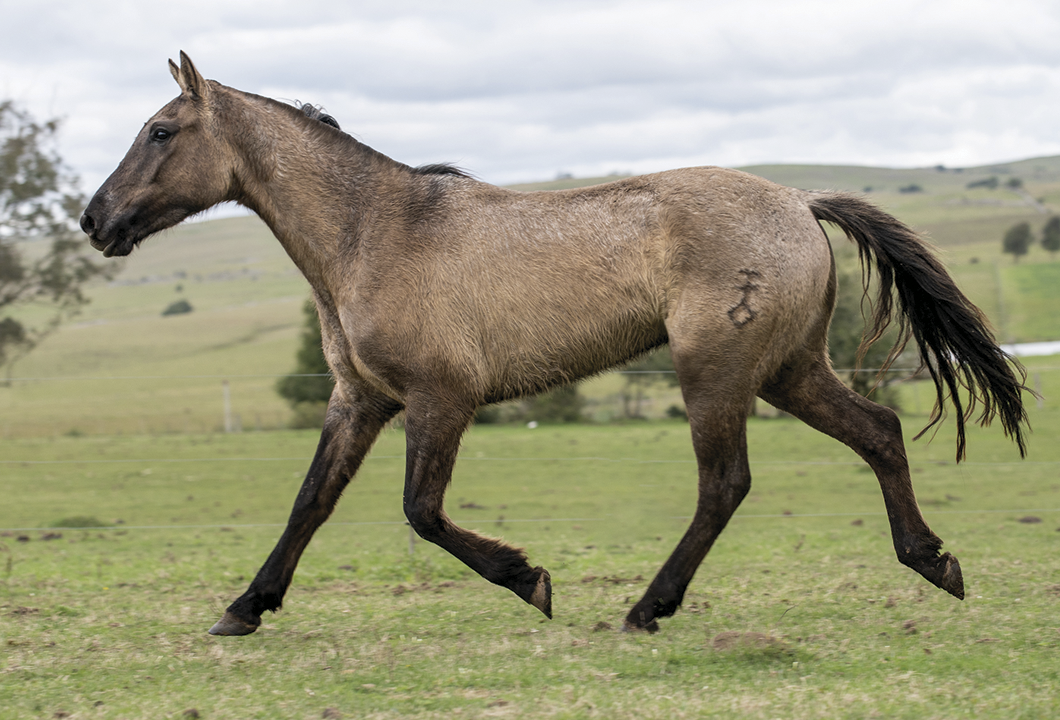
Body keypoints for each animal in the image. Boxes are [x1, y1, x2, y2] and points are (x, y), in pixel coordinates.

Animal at [80, 52, 1026, 636]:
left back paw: (648, 610)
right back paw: (934, 563)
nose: (94, 220)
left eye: (161, 130)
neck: (372, 232)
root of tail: (800, 201)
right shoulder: (361, 400)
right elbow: (311, 502)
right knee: (880, 433)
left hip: (717, 374)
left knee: (725, 483)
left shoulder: (441, 399)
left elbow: (422, 512)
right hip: (789, 372)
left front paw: (530, 580)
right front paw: (244, 607)